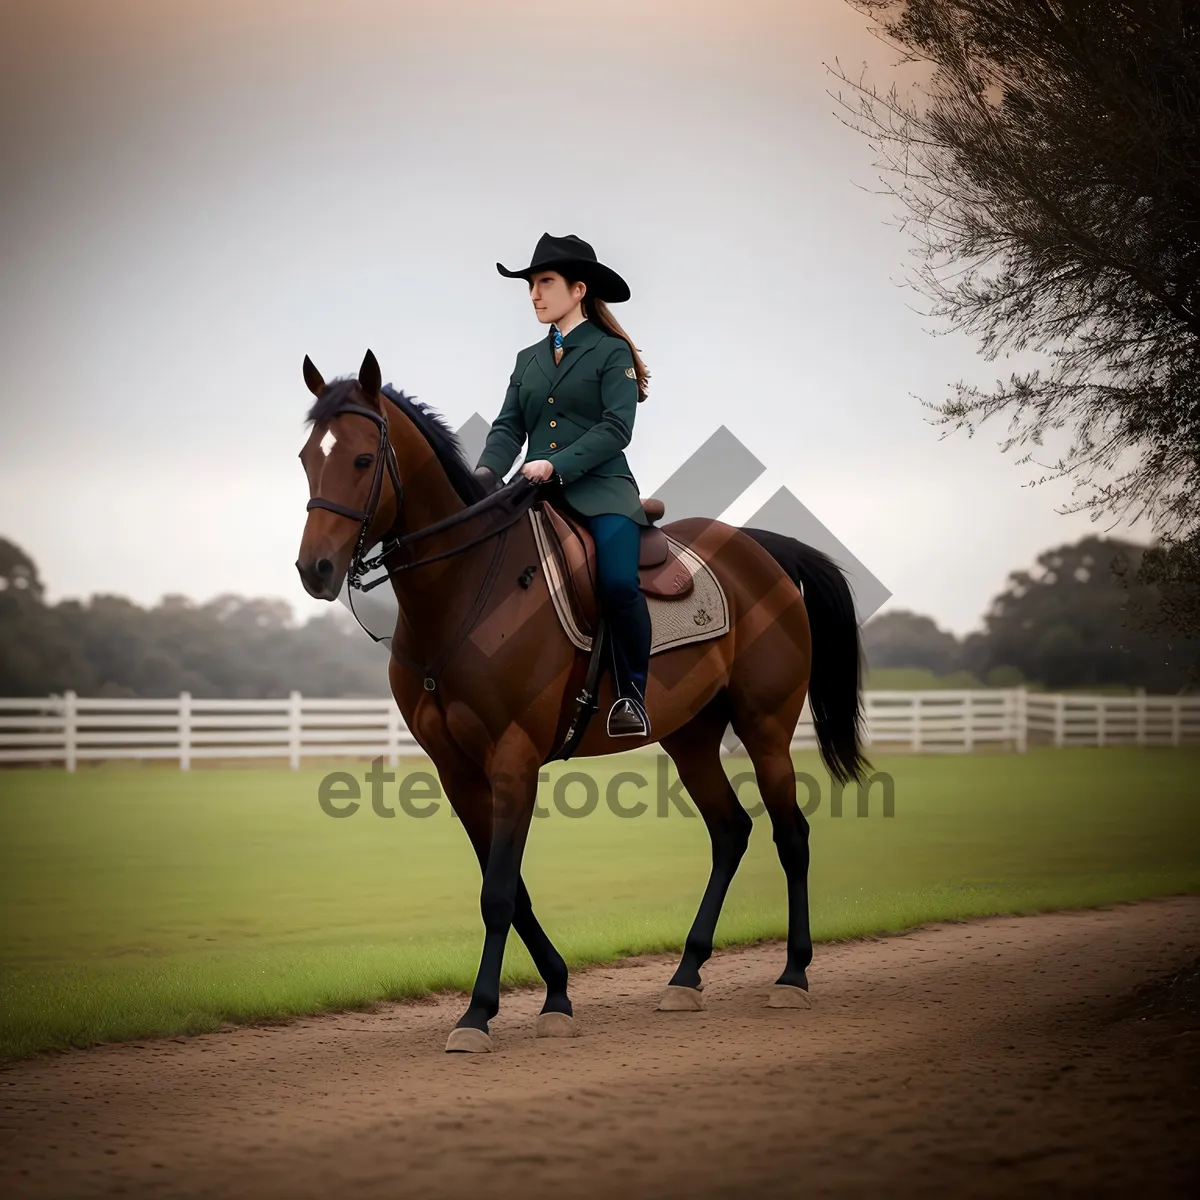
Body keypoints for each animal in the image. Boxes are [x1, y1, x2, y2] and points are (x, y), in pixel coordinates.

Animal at [295, 348, 868, 1051]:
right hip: (691, 736)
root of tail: (761, 548)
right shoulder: (457, 770)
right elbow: (511, 888)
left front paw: (478, 1013)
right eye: (306, 457)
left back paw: (792, 973)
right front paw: (557, 994)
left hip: (764, 729)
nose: (315, 569)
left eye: (361, 460)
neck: (463, 589)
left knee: (792, 836)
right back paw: (686, 974)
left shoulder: (512, 757)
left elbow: (498, 893)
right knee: (731, 831)